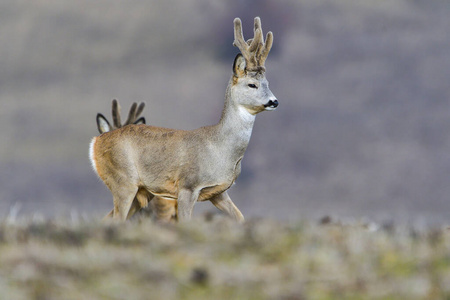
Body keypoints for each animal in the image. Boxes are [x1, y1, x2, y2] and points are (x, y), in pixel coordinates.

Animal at [89, 17, 278, 221]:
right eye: (252, 84)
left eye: (267, 83)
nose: (274, 101)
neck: (220, 149)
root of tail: (96, 141)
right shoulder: (187, 186)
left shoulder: (219, 192)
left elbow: (240, 218)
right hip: (123, 181)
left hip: (141, 192)